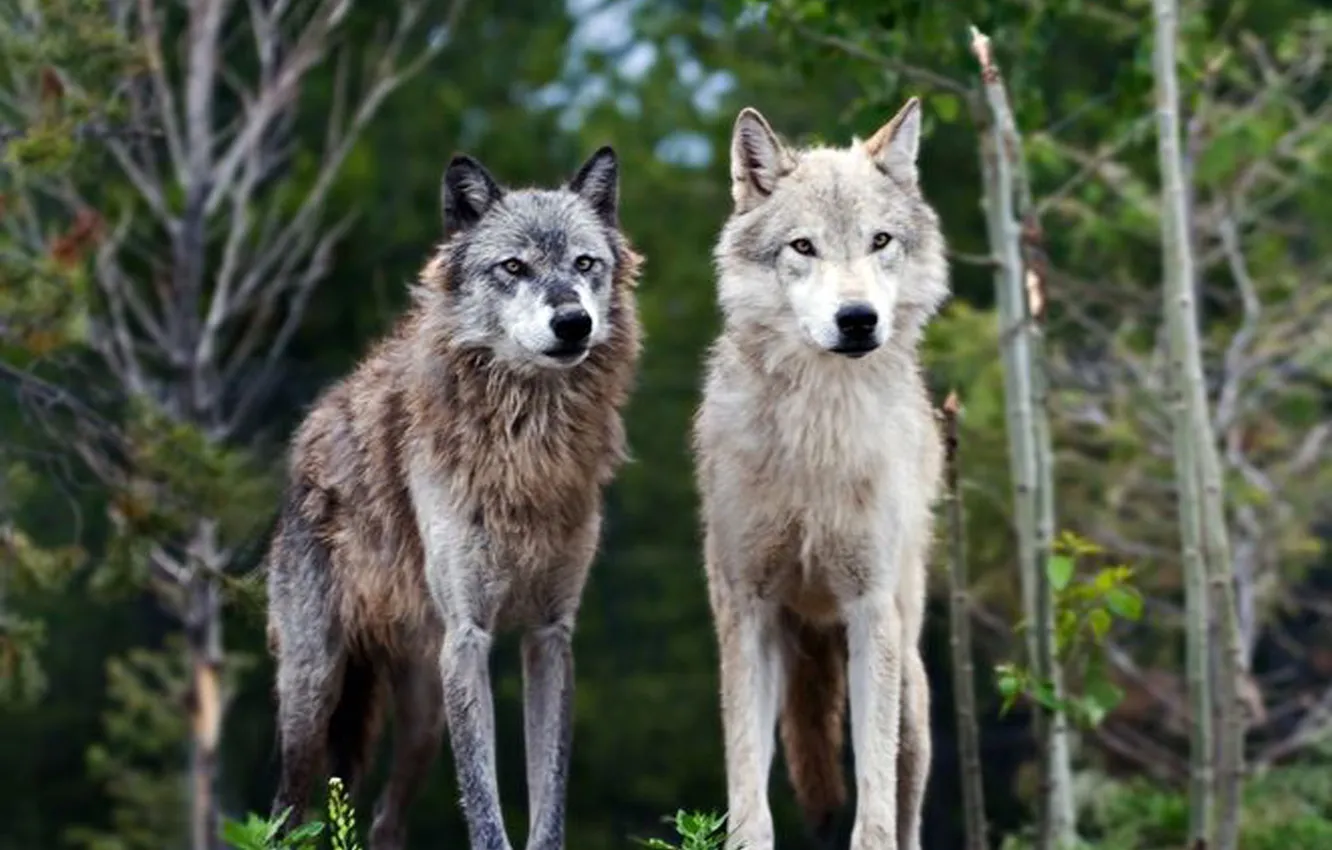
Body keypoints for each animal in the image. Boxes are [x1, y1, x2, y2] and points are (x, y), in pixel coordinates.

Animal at [265, 145, 642, 850]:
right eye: (514, 267)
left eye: (584, 264)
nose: (572, 321)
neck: (526, 447)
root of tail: (309, 435)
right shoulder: (469, 637)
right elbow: (484, 807)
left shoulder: (549, 636)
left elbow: (548, 801)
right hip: (316, 692)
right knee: (284, 814)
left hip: (422, 716)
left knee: (385, 822)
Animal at [692, 98, 950, 850]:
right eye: (803, 247)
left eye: (880, 240)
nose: (857, 319)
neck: (818, 434)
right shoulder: (745, 610)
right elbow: (748, 799)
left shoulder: (868, 612)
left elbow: (874, 811)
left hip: (910, 687)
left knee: (906, 812)